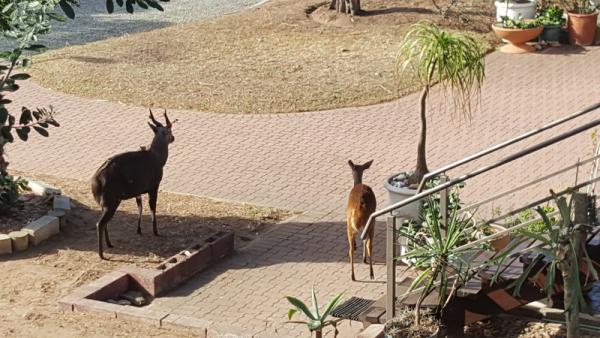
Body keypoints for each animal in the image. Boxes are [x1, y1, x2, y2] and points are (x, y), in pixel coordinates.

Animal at [91, 108, 176, 258]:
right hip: (111, 200)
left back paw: (109, 244)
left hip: (104, 202)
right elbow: (152, 207)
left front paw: (139, 229)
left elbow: (140, 207)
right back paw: (102, 254)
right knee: (100, 223)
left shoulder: (138, 190)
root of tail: (95, 183)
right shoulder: (154, 185)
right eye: (170, 129)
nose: (173, 138)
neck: (158, 159)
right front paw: (155, 231)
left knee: (104, 222)